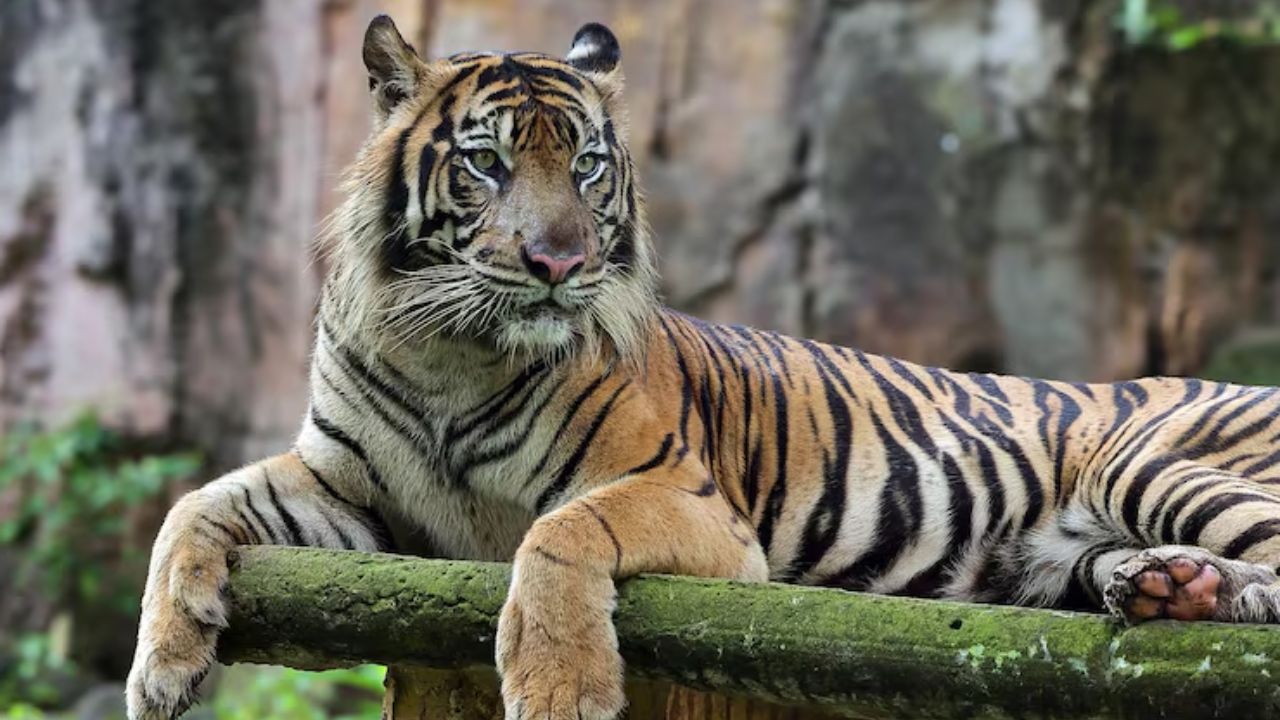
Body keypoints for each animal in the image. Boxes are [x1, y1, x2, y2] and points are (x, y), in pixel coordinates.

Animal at [126, 15, 1280, 720]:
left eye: (585, 165)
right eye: (487, 164)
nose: (559, 263)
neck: (451, 347)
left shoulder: (689, 503)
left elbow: (558, 533)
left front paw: (558, 689)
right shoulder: (348, 491)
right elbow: (191, 508)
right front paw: (162, 669)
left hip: (1149, 459)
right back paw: (1166, 586)